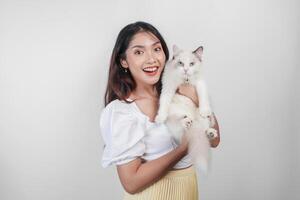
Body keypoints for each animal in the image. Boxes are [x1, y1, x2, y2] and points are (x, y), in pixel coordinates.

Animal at [155, 45, 218, 173]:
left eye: (191, 64)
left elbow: (203, 97)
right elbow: (163, 102)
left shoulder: (200, 84)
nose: (185, 69)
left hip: (202, 121)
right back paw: (186, 121)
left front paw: (205, 110)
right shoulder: (168, 88)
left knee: (204, 130)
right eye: (181, 63)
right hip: (175, 115)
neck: (186, 81)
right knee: (180, 129)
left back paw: (210, 132)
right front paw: (160, 117)